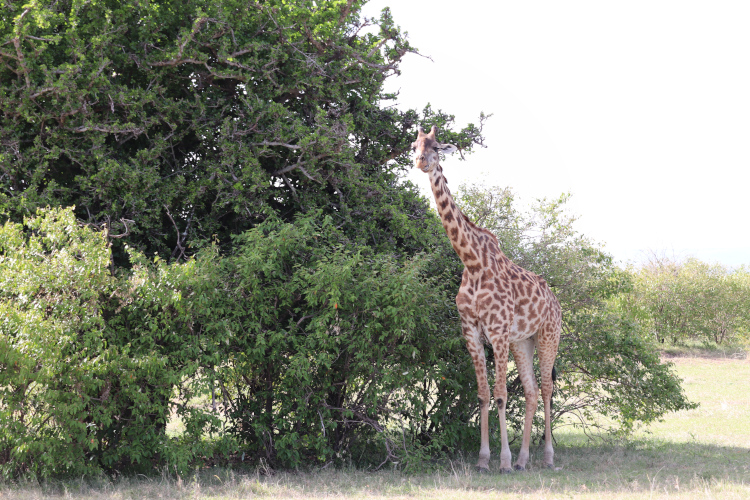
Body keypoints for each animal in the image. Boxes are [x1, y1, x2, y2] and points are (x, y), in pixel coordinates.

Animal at [412, 125, 564, 472]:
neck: (472, 262)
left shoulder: (497, 331)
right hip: (523, 341)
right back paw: (523, 459)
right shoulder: (470, 330)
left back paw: (546, 457)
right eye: (414, 145)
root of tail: (556, 302)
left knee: (546, 389)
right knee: (532, 391)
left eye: (436, 147)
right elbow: (483, 394)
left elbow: (501, 394)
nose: (421, 162)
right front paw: (484, 459)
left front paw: (502, 461)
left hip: (548, 336)